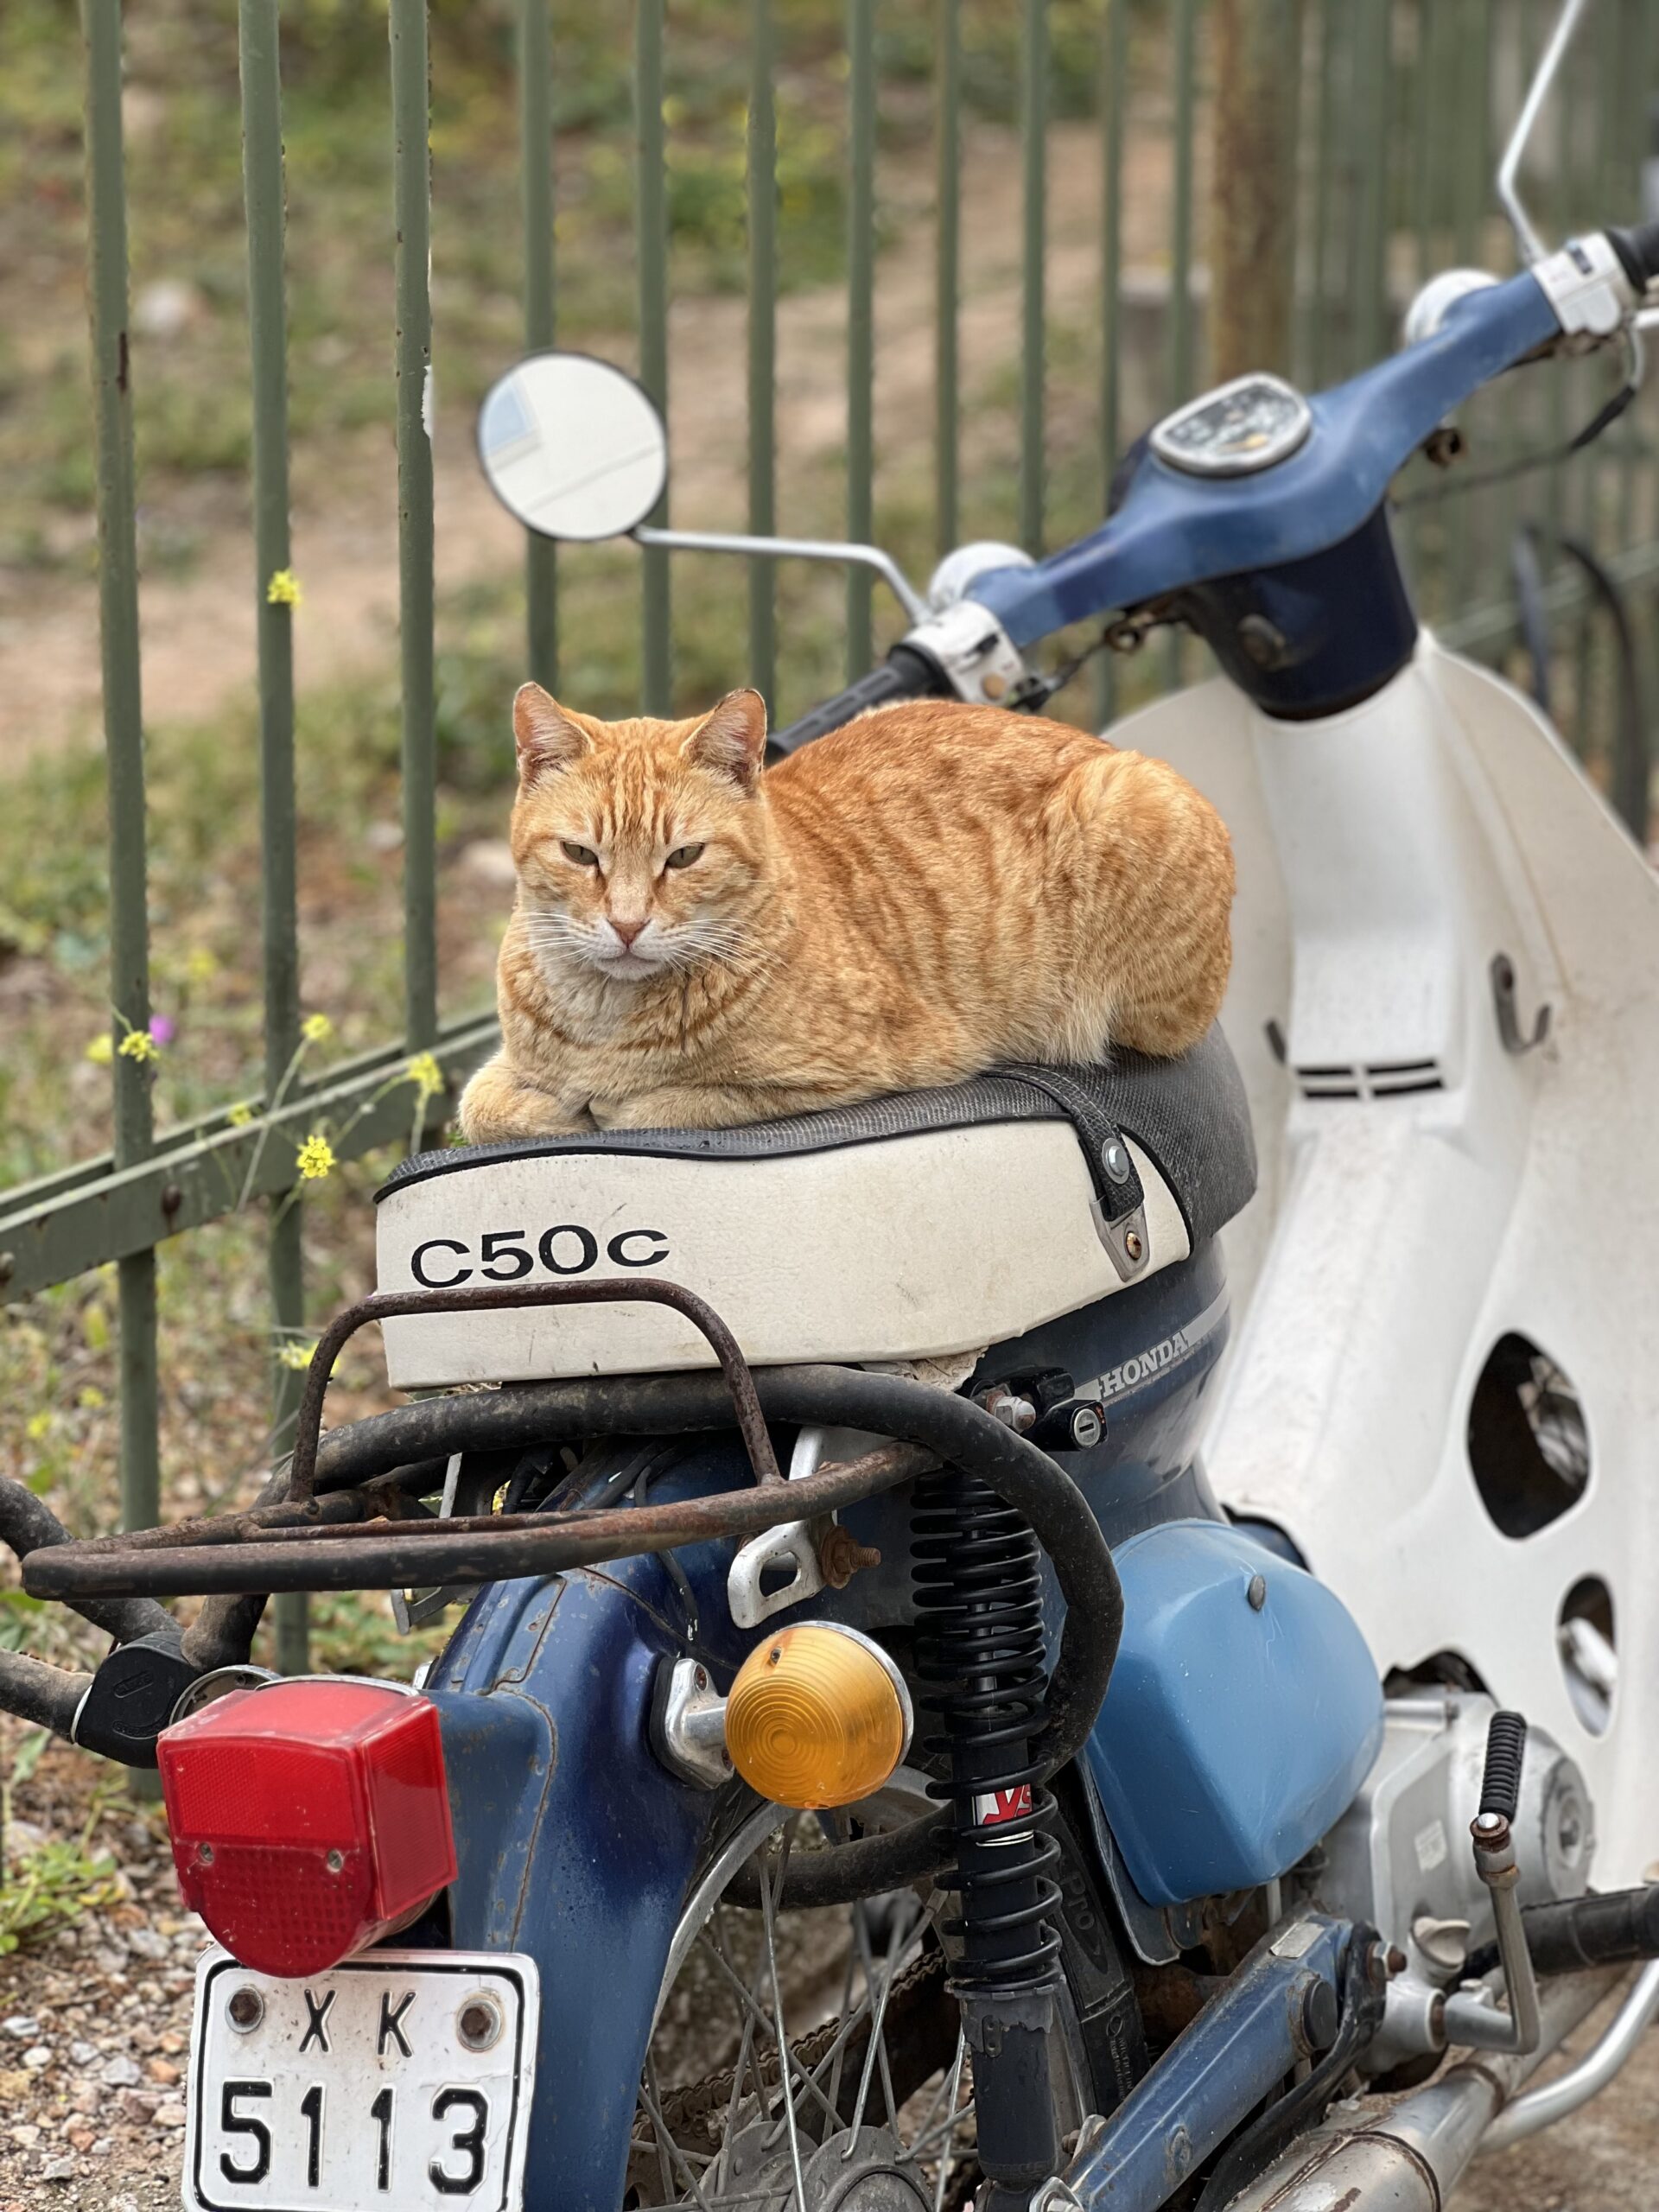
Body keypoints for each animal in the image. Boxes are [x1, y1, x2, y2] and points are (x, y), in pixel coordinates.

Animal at [455, 685, 1238, 1141]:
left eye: (684, 857)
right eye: (580, 854)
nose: (625, 925)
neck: (602, 1016)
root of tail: (1104, 743)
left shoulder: (857, 1071)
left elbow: (660, 1104)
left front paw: (599, 1105)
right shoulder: (505, 1067)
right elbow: (482, 1105)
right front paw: (549, 1108)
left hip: (1132, 809)